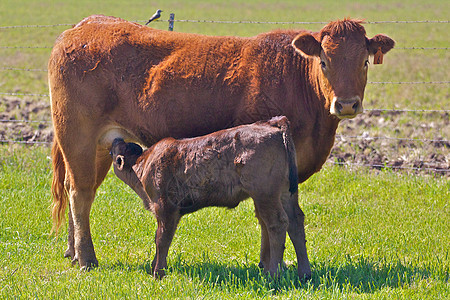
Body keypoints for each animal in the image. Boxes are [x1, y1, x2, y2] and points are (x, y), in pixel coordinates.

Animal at [110, 116, 312, 280]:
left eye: (113, 152)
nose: (116, 139)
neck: (142, 163)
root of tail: (273, 123)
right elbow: (160, 238)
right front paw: (155, 267)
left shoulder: (165, 208)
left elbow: (162, 238)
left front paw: (158, 273)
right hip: (286, 194)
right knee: (295, 222)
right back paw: (304, 274)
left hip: (265, 195)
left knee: (277, 224)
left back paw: (272, 275)